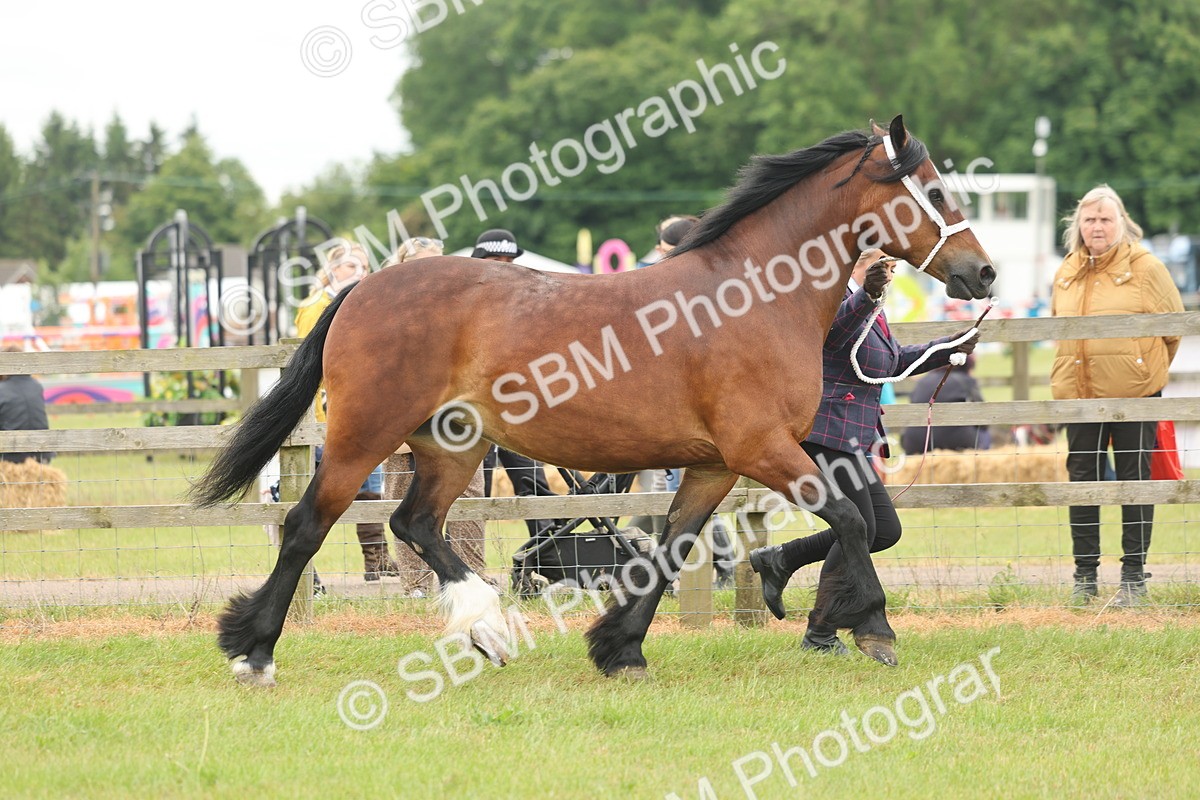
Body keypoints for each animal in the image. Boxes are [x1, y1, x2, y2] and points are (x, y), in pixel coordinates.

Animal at [192, 115, 994, 687]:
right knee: (307, 525)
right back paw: (254, 652)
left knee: (414, 523)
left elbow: (669, 551)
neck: (755, 298)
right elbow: (852, 522)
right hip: (364, 437)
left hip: (453, 444)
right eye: (933, 192)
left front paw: (620, 649)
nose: (983, 273)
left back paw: (486, 628)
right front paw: (876, 630)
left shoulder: (714, 465)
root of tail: (364, 287)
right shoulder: (762, 449)